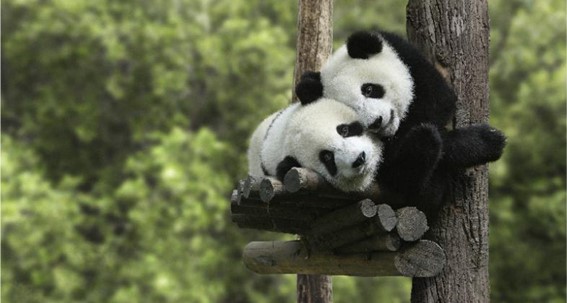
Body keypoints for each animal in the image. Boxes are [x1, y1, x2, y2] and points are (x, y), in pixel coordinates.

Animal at [292, 29, 506, 217]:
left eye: (368, 89)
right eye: (353, 110)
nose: (377, 122)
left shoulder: (410, 61)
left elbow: (440, 102)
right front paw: (486, 142)